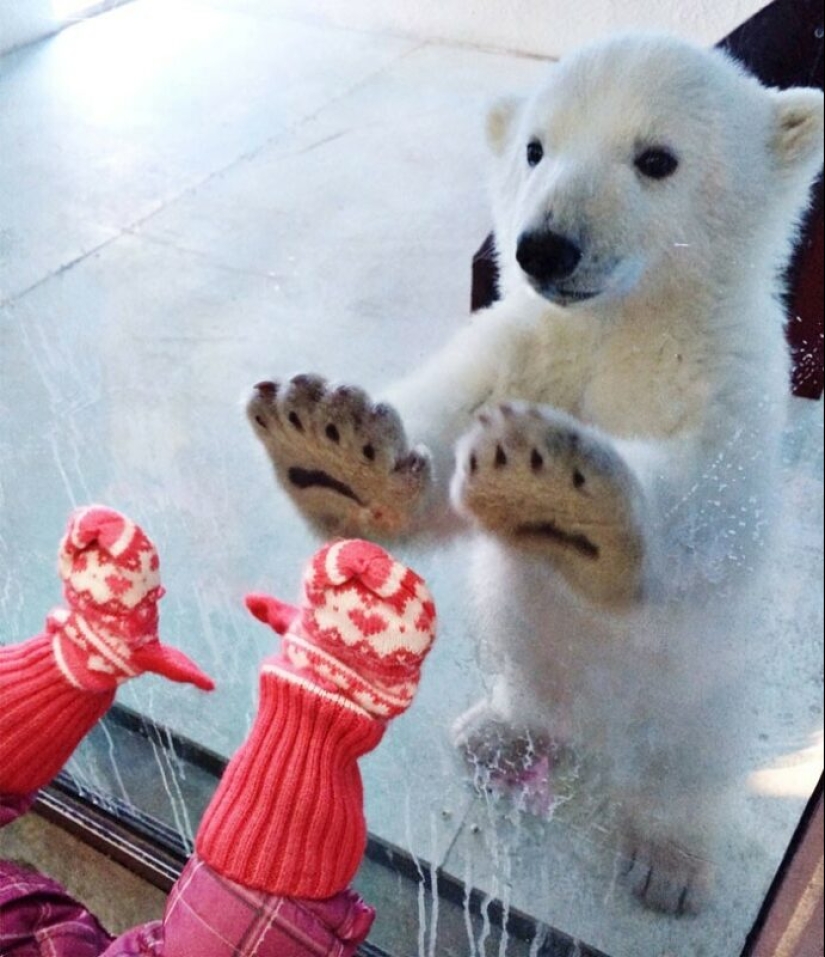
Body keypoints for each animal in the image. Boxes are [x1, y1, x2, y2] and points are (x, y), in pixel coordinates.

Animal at [246, 33, 825, 915]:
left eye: (656, 158)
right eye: (534, 147)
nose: (543, 245)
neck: (623, 321)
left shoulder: (723, 381)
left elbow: (705, 495)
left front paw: (562, 491)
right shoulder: (528, 340)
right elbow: (443, 432)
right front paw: (334, 447)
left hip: (709, 680)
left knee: (688, 755)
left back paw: (667, 861)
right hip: (518, 630)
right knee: (527, 663)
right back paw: (498, 731)